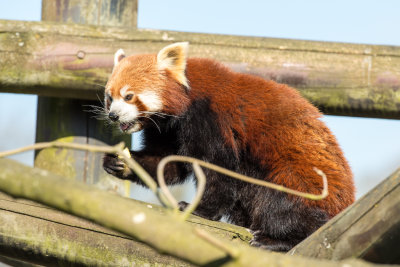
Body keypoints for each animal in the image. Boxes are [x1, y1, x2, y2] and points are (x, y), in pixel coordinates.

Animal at [102, 41, 354, 251]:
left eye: (129, 96)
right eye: (109, 97)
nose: (113, 116)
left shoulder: (210, 119)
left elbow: (216, 168)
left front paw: (201, 210)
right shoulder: (166, 131)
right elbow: (166, 163)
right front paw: (120, 162)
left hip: (299, 179)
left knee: (281, 204)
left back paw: (276, 240)